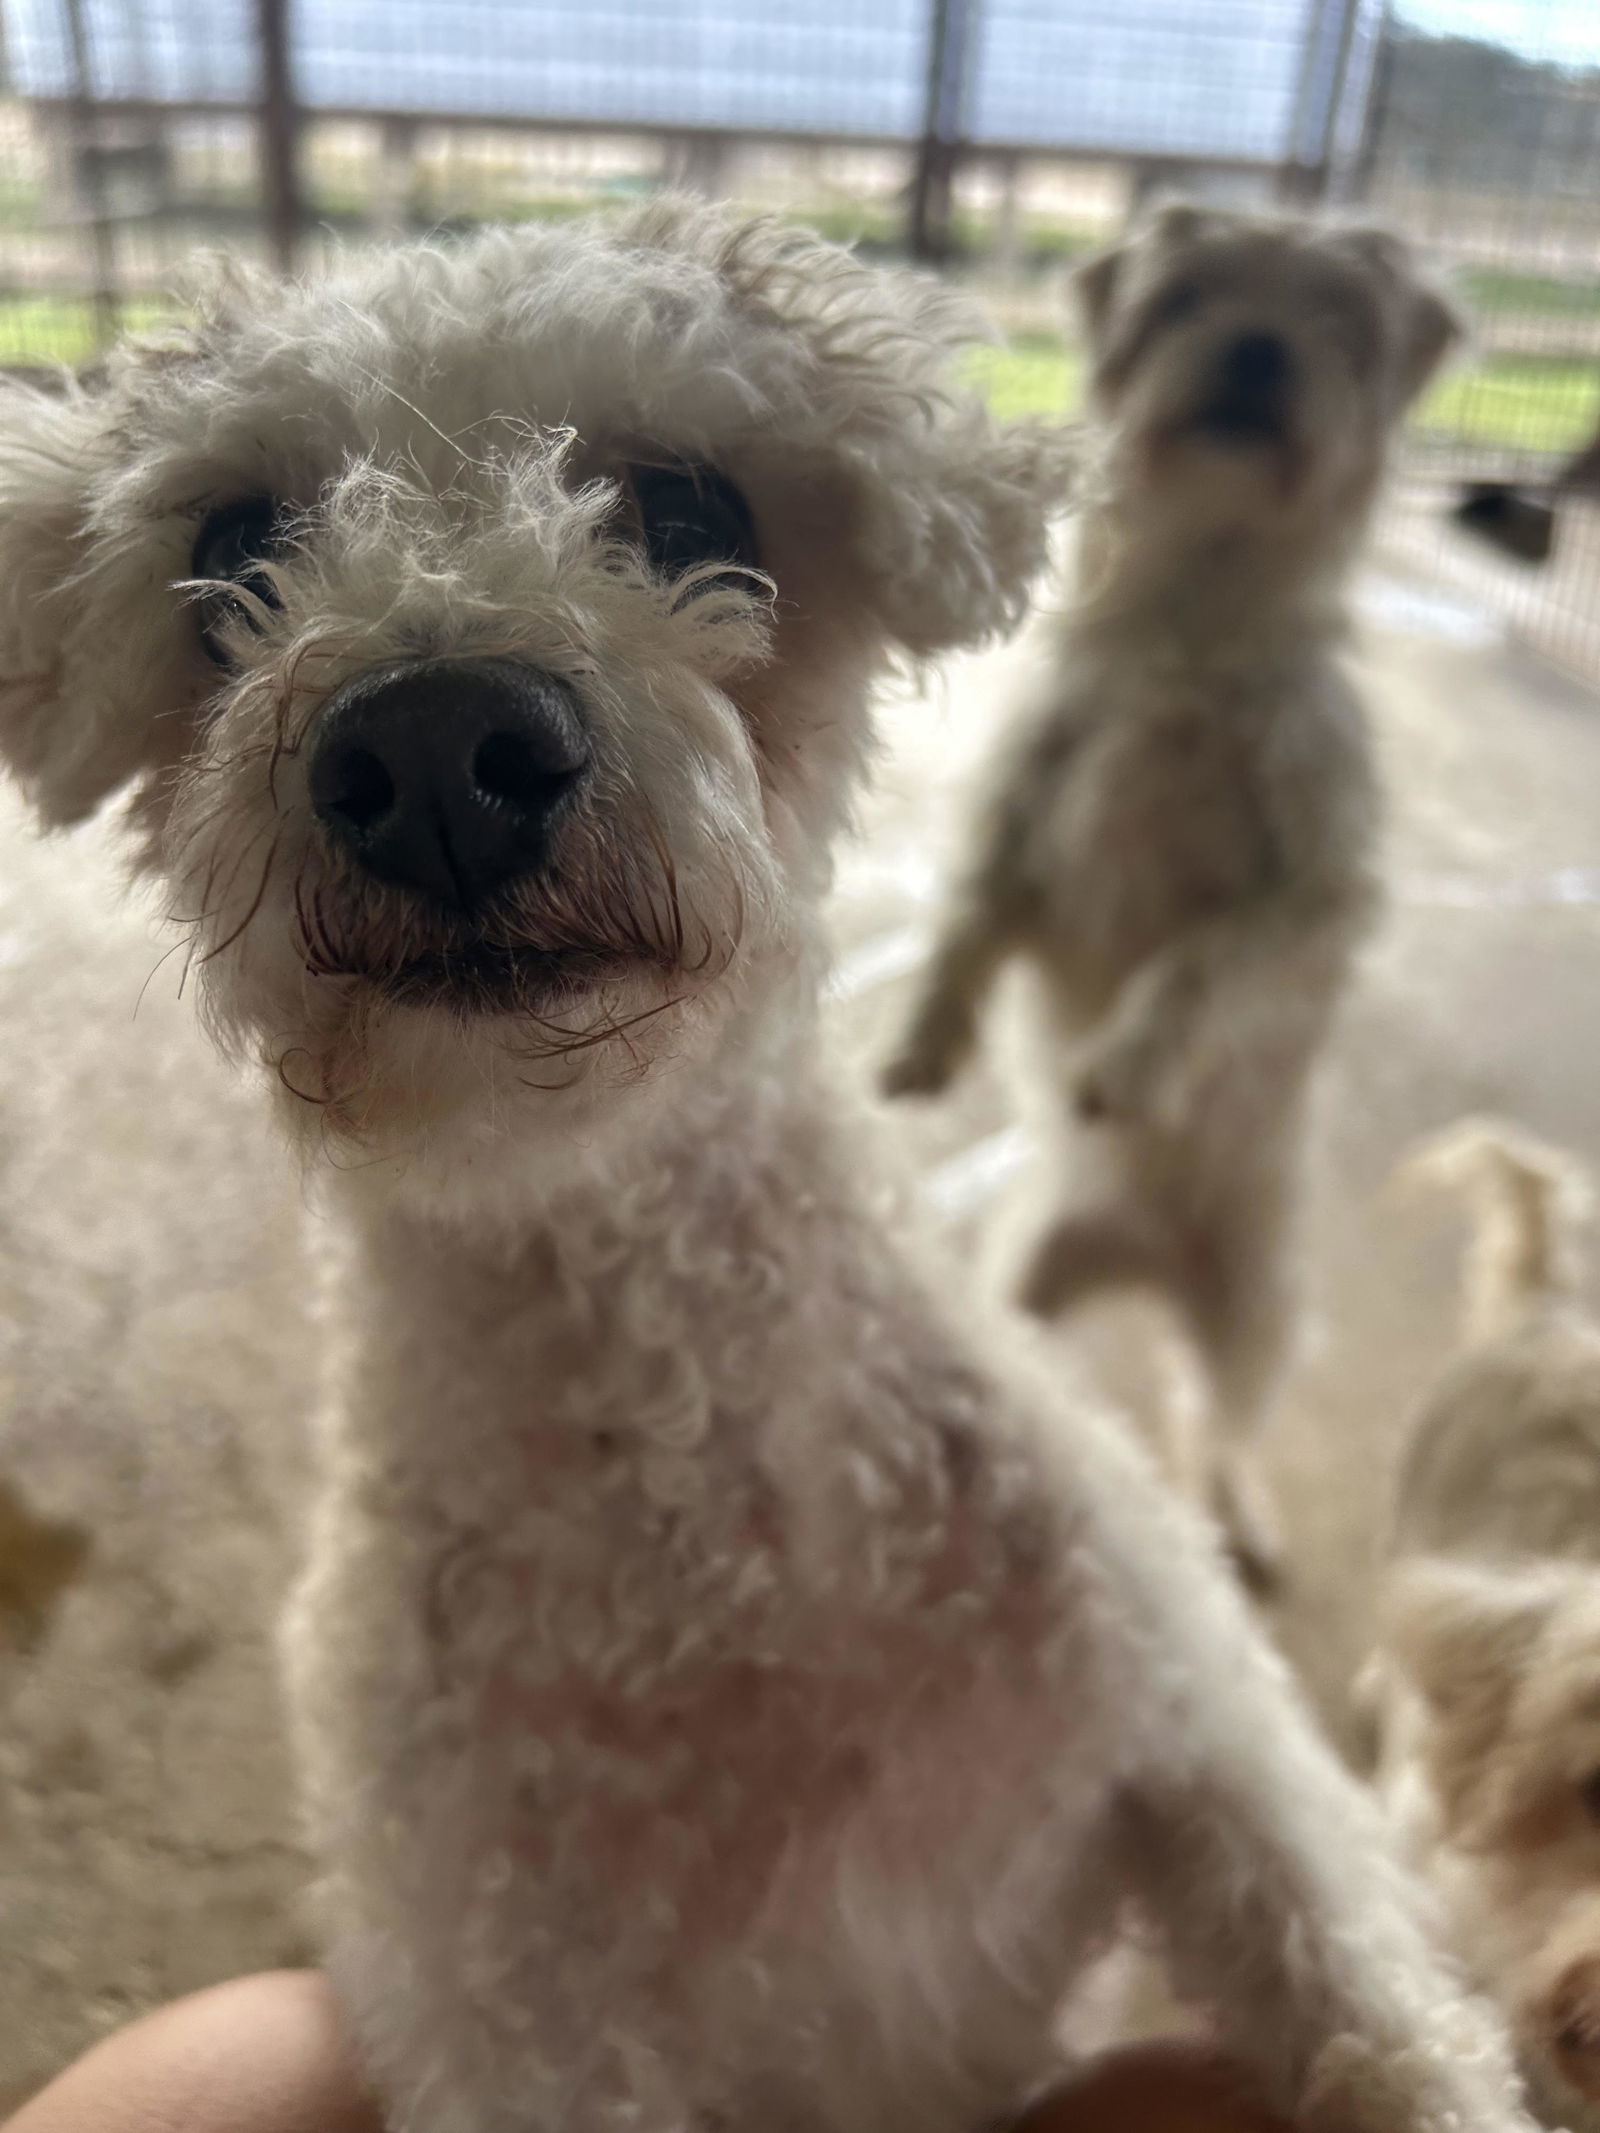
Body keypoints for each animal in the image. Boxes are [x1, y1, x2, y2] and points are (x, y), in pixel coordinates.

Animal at [883, 207, 1459, 1578]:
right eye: (1187, 296)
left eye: (1338, 322)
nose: (1255, 347)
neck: (1197, 605)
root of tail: (1142, 1257)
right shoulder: (1025, 830)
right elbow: (966, 916)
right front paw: (922, 1042)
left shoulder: (1310, 902)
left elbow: (1200, 960)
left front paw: (1129, 1063)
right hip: (1025, 1278)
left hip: (1258, 1313)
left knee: (1218, 1417)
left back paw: (1235, 1513)